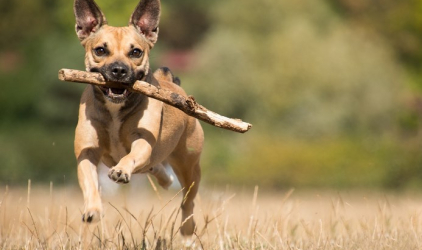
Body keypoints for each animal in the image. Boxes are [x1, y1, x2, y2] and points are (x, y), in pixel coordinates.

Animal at [73, 0, 204, 236]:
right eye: (100, 50)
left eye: (135, 52)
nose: (118, 70)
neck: (115, 108)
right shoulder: (87, 151)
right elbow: (89, 182)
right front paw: (93, 210)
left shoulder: (142, 142)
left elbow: (131, 156)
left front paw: (120, 171)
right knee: (156, 167)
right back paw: (164, 179)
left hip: (188, 164)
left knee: (188, 200)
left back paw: (187, 228)